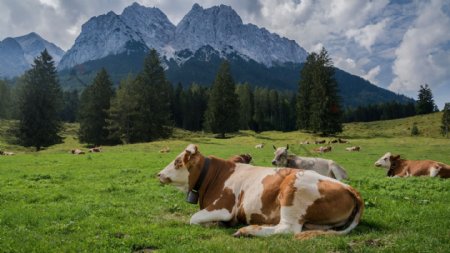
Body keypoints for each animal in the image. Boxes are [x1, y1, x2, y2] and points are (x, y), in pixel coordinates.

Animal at [157, 144, 362, 239]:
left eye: (177, 162)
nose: (159, 174)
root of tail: (350, 188)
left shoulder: (224, 207)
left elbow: (193, 219)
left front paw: (214, 224)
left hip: (292, 192)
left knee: (286, 229)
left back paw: (247, 230)